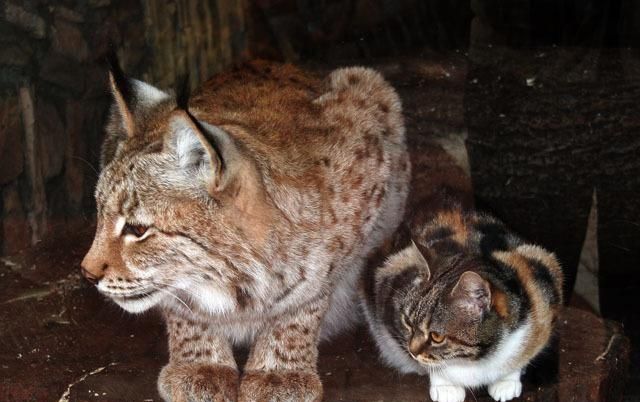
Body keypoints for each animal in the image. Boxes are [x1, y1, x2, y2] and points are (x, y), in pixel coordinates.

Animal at [82, 56, 410, 402]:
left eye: (137, 229)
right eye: (100, 214)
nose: (87, 274)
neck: (237, 281)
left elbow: (310, 294)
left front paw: (279, 372)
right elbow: (183, 306)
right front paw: (202, 366)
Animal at [362, 191, 564, 402]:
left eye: (437, 336)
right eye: (407, 323)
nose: (412, 351)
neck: (476, 360)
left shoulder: (543, 282)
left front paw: (507, 382)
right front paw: (446, 387)